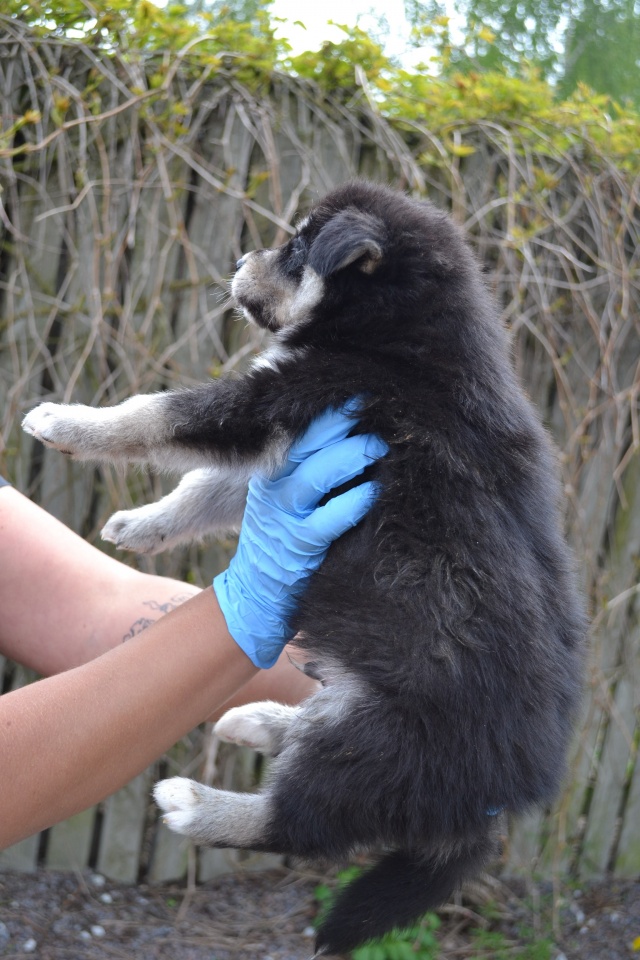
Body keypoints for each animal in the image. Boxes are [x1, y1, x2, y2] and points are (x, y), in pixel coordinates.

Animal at [23, 181, 586, 956]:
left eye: (296, 247)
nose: (240, 259)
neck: (395, 336)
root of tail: (494, 805)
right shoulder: (296, 441)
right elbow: (212, 489)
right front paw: (143, 524)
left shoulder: (287, 398)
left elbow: (160, 414)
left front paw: (65, 423)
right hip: (366, 727)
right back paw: (258, 720)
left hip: (382, 741)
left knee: (297, 824)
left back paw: (196, 804)